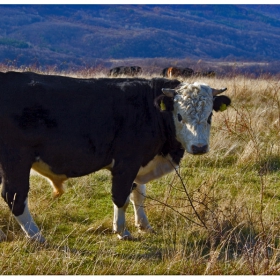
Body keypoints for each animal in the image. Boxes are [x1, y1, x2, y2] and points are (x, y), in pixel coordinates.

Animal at [0, 71, 231, 242]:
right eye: (180, 116)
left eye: (210, 115)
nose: (199, 147)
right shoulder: (127, 162)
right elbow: (121, 196)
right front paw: (122, 231)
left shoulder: (140, 162)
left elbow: (139, 194)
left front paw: (144, 225)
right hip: (16, 160)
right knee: (14, 197)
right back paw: (36, 236)